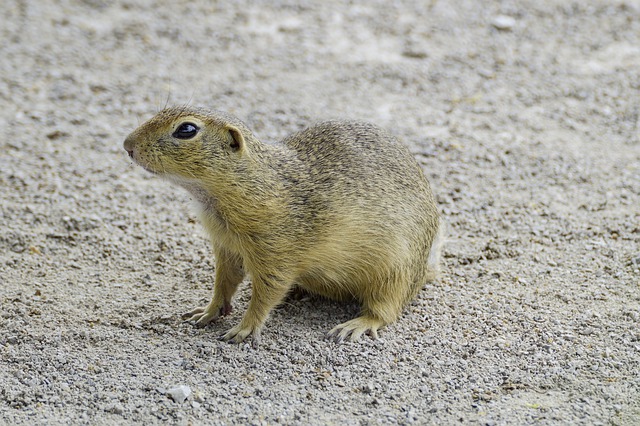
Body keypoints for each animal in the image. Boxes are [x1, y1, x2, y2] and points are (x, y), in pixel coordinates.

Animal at [123, 106, 442, 343]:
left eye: (186, 130)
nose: (127, 145)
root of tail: (423, 271)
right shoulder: (226, 248)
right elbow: (223, 283)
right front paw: (208, 311)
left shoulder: (276, 255)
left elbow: (266, 295)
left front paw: (244, 328)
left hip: (394, 273)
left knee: (386, 310)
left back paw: (356, 324)